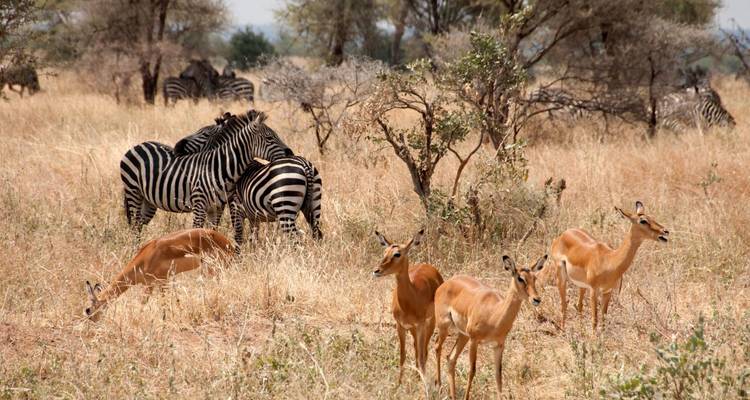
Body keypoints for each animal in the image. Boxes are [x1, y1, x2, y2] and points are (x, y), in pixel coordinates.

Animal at [119, 110, 294, 233]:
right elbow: (197, 231)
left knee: (138, 225)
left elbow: (212, 232)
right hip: (133, 192)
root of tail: (138, 145)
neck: (218, 167)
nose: (290, 153)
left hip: (149, 201)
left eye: (204, 133)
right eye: (270, 138)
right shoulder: (199, 205)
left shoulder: (217, 207)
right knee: (134, 226)